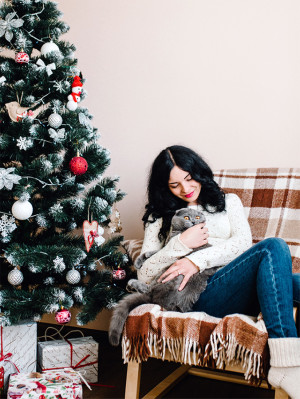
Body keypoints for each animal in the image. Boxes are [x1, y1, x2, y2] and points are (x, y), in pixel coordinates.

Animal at [109, 209, 219, 346]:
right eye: (186, 217)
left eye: (197, 217)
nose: (193, 221)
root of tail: (156, 299)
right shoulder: (167, 248)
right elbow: (153, 253)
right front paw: (139, 262)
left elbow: (154, 253)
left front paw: (138, 262)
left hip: (167, 274)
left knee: (148, 289)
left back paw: (132, 283)